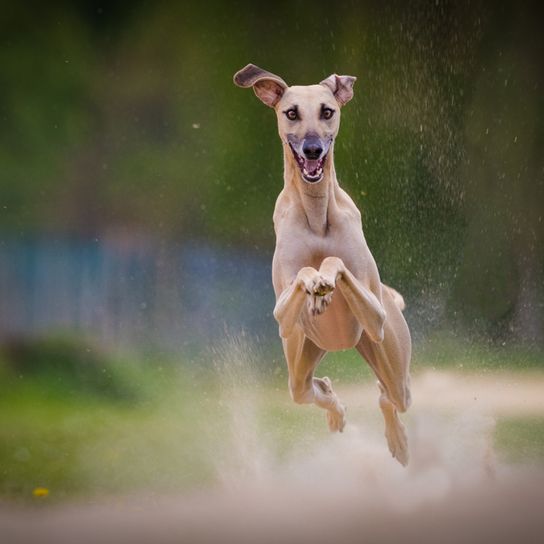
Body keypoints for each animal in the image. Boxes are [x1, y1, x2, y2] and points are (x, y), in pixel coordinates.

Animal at [232, 62, 410, 464]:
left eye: (327, 111)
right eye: (291, 112)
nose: (312, 149)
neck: (316, 213)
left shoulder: (376, 314)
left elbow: (335, 260)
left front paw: (325, 280)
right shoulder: (283, 316)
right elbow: (301, 273)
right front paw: (315, 285)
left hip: (385, 351)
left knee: (390, 394)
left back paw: (398, 441)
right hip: (301, 354)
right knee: (307, 390)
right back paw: (335, 409)